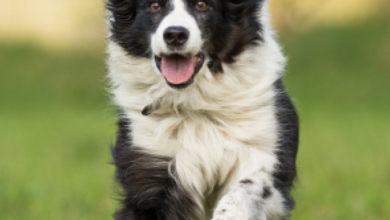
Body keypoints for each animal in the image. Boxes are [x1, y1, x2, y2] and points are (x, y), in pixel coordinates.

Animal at [105, 0, 298, 219]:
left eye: (202, 5)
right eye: (154, 6)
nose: (175, 35)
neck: (195, 102)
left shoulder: (265, 154)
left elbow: (242, 192)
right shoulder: (149, 167)